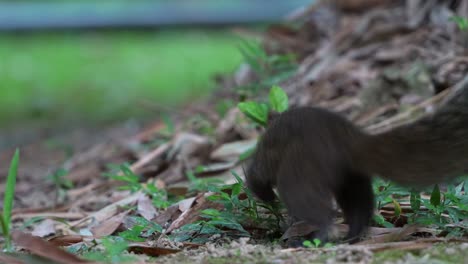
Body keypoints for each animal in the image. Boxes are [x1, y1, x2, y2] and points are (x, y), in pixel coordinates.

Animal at [243, 81, 468, 244]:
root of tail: (350, 138)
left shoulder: (262, 164)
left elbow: (256, 180)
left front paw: (271, 201)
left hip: (299, 173)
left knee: (317, 210)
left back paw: (315, 238)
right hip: (352, 179)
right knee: (360, 208)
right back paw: (352, 237)